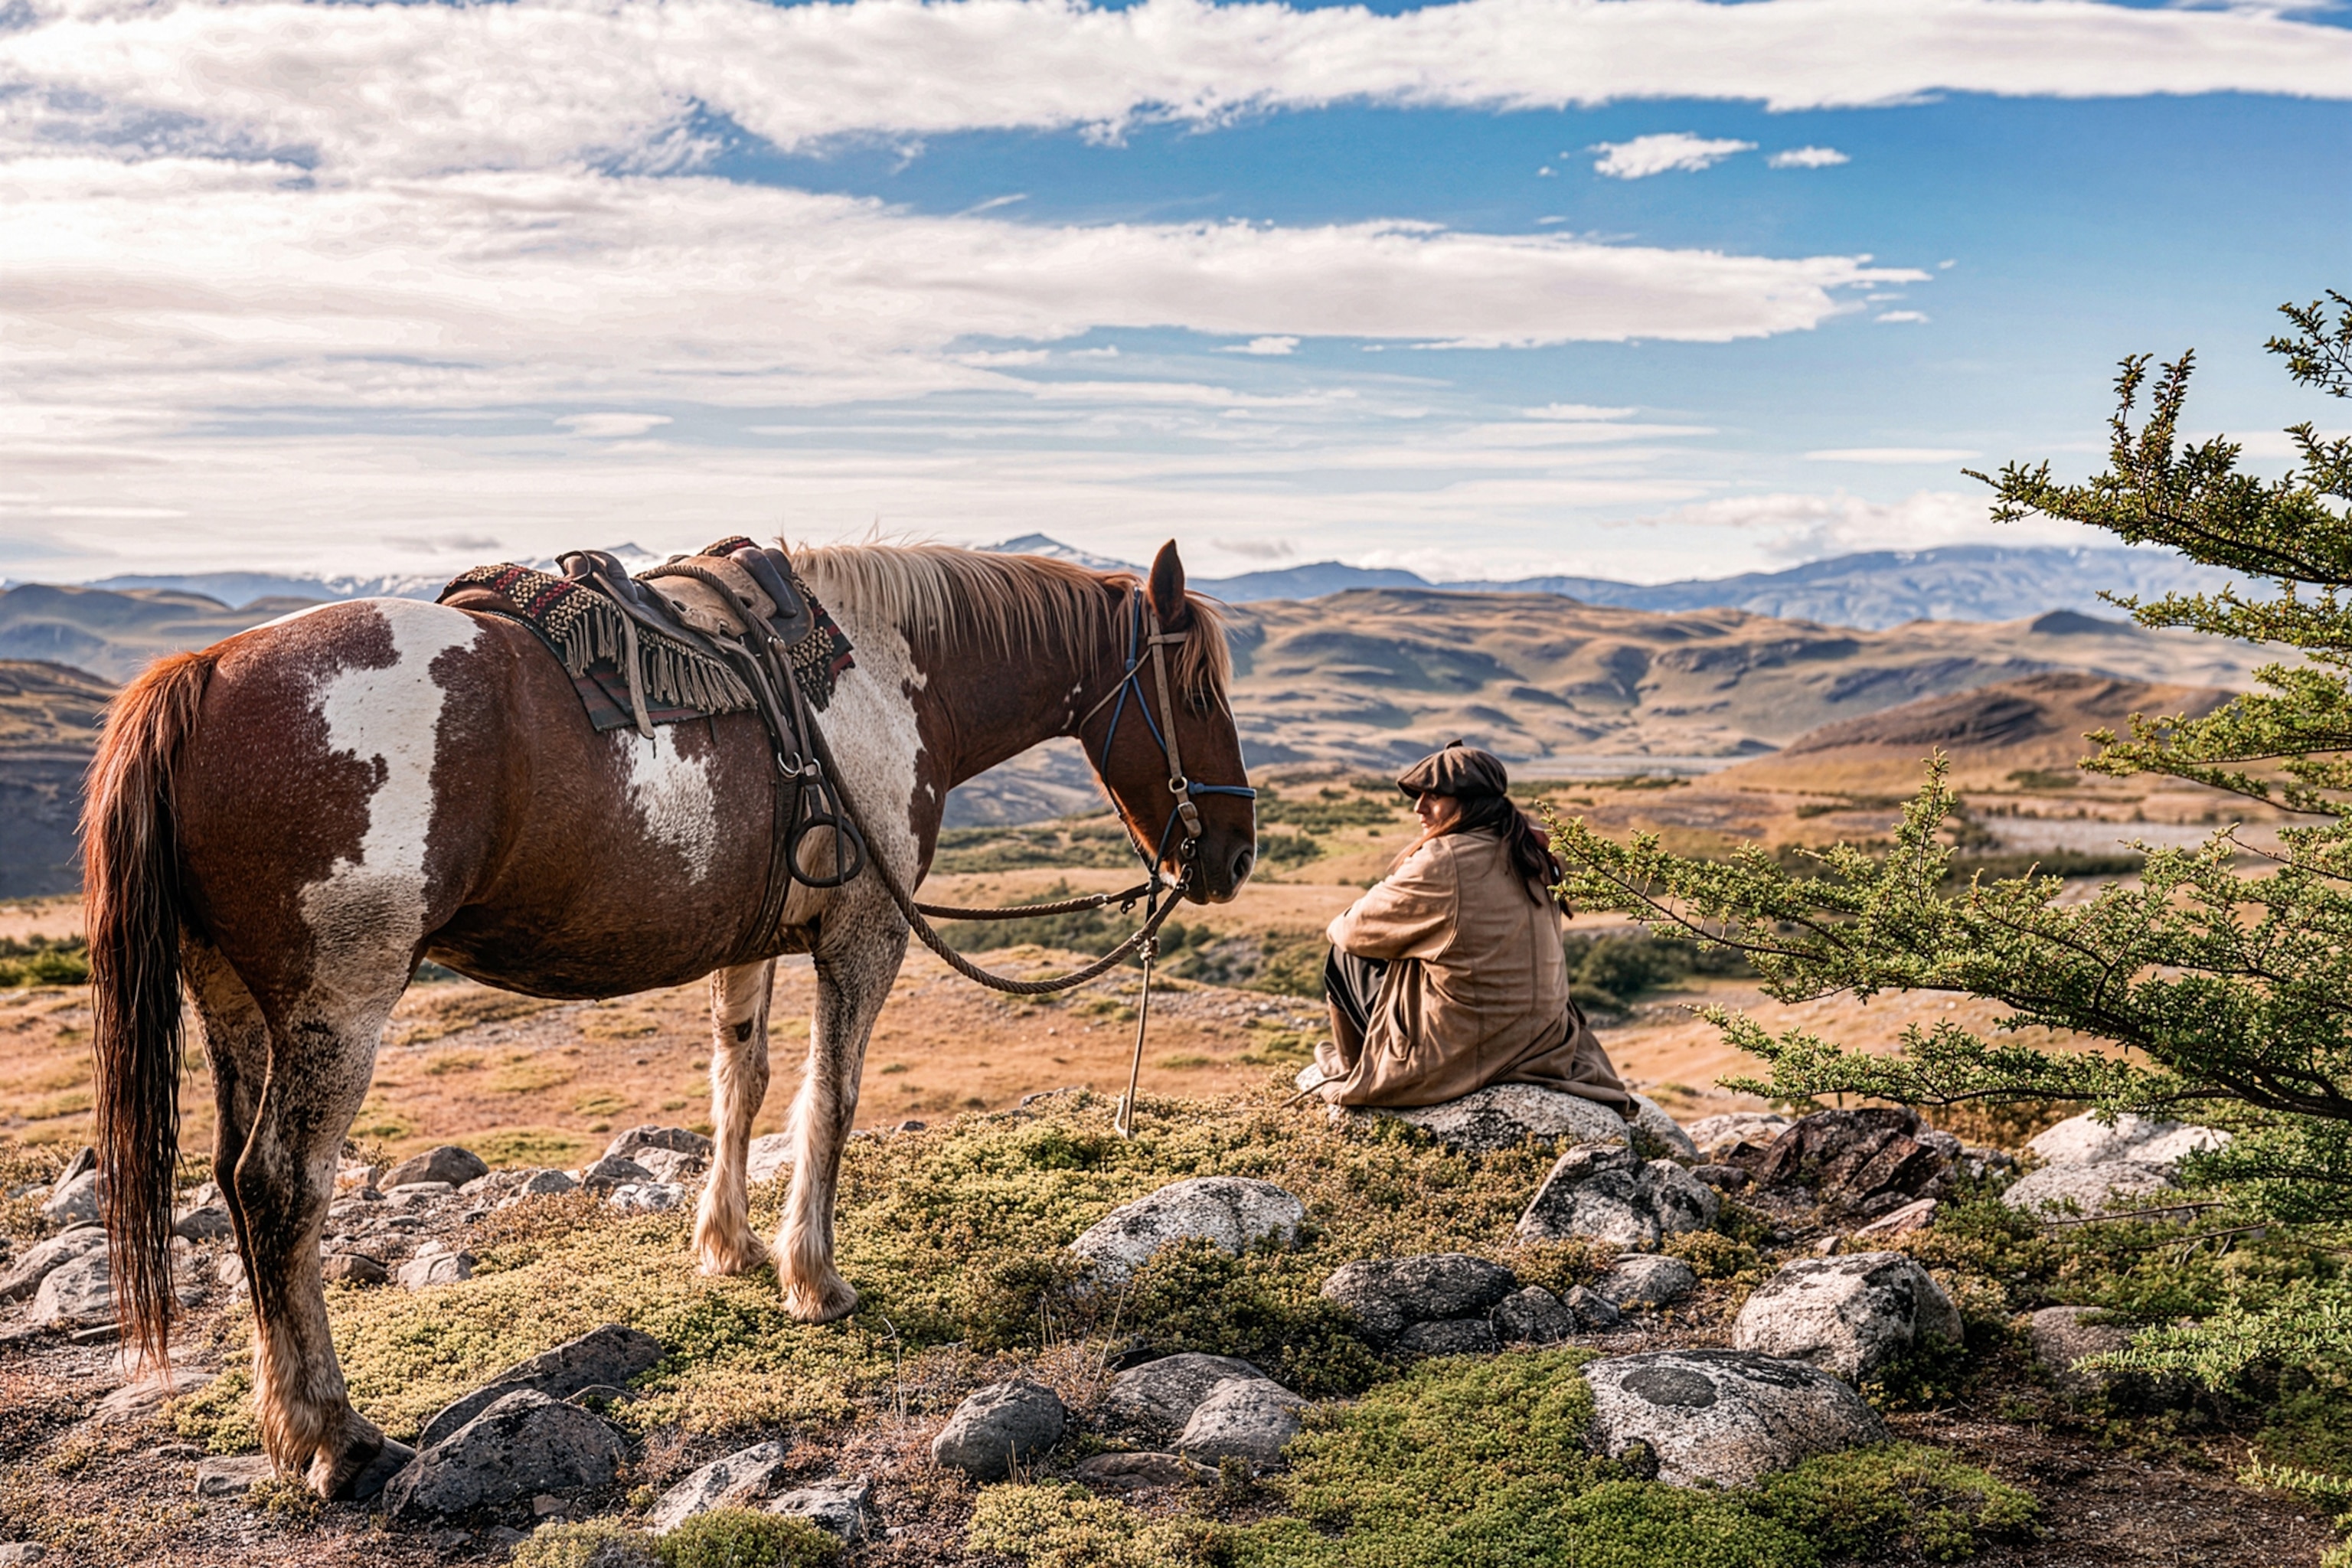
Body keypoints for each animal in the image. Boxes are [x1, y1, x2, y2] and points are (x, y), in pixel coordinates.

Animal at [82, 539, 1256, 1498]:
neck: (879, 678)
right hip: (338, 1003)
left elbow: (742, 1081)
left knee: (235, 1182)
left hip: (232, 999)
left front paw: (727, 1246)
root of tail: (203, 675)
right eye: (1198, 690)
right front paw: (814, 1278)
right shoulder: (864, 933)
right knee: (283, 1189)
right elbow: (832, 1098)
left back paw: (286, 1424)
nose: (1236, 854)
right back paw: (339, 1435)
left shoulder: (754, 935)